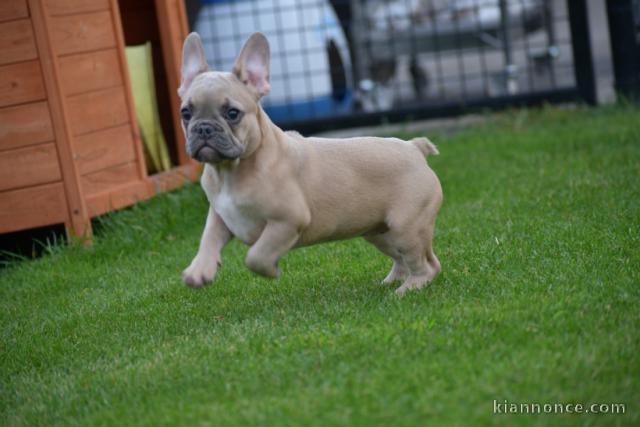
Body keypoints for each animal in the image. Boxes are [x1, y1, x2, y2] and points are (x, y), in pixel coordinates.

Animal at [178, 32, 442, 294]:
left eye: (232, 113)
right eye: (185, 113)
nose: (204, 128)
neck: (230, 170)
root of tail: (413, 147)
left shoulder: (288, 220)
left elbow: (256, 255)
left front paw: (271, 270)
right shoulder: (220, 216)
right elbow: (208, 239)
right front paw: (199, 270)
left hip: (406, 227)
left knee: (427, 264)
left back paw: (408, 288)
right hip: (378, 231)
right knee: (401, 258)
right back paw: (393, 280)